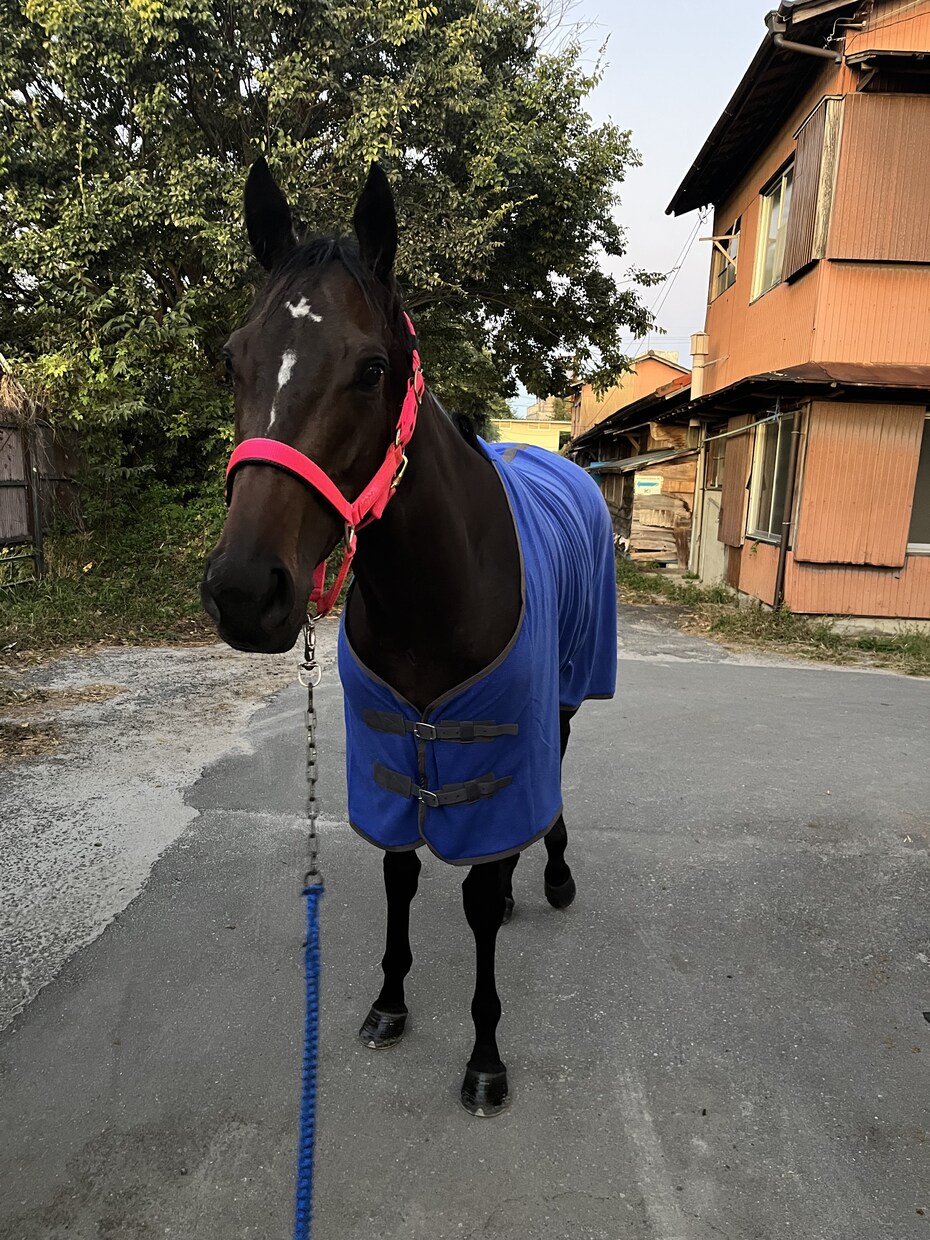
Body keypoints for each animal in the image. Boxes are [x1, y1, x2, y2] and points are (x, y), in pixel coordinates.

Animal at [201, 158, 617, 1116]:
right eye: (232, 359)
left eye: (371, 368)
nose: (243, 592)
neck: (436, 590)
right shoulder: (392, 744)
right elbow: (401, 873)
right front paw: (389, 1002)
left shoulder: (497, 737)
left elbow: (477, 896)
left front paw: (485, 1054)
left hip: (567, 692)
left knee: (552, 783)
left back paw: (552, 875)